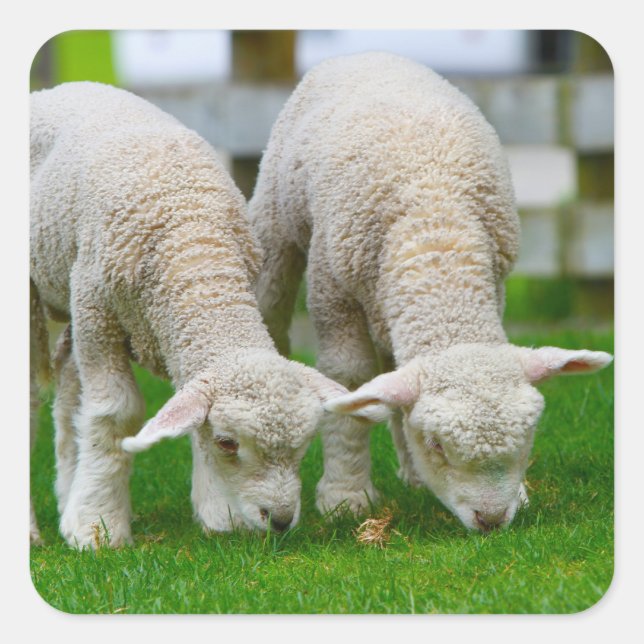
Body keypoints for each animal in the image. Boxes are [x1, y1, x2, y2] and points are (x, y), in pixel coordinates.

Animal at [29, 81, 381, 548]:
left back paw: (69, 493)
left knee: (69, 390)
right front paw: (98, 526)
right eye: (229, 442)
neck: (194, 244)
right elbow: (115, 413)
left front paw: (216, 513)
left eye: (305, 443)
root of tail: (59, 88)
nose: (280, 520)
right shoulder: (97, 312)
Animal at [248, 52, 613, 533]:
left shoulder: (493, 283)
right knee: (273, 303)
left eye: (529, 436)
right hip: (278, 219)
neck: (436, 233)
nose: (491, 520)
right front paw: (346, 495)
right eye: (438, 445)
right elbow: (349, 378)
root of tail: (367, 54)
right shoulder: (334, 293)